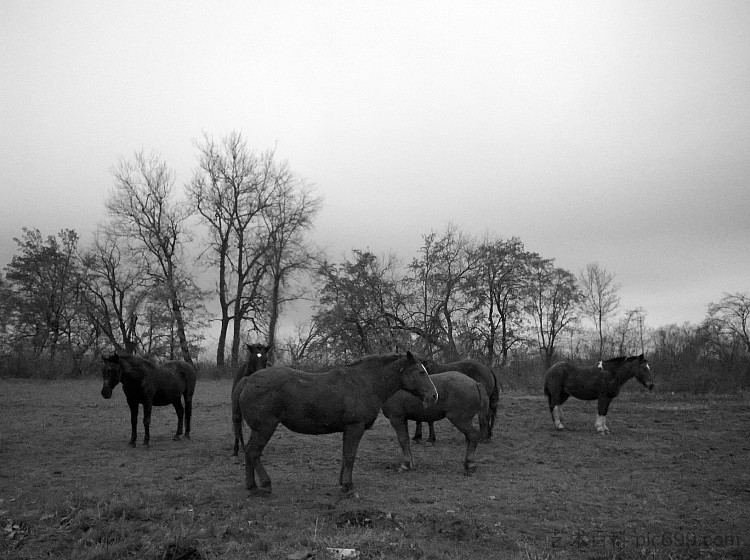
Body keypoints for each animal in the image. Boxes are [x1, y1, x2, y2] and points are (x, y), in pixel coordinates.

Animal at [232, 350, 438, 494]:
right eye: (420, 372)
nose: (433, 395)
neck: (365, 383)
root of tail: (248, 380)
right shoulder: (355, 427)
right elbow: (350, 456)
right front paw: (349, 487)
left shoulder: (348, 429)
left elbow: (346, 455)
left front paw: (342, 483)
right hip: (265, 427)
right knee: (253, 452)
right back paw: (265, 484)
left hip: (258, 429)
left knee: (250, 452)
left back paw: (252, 486)